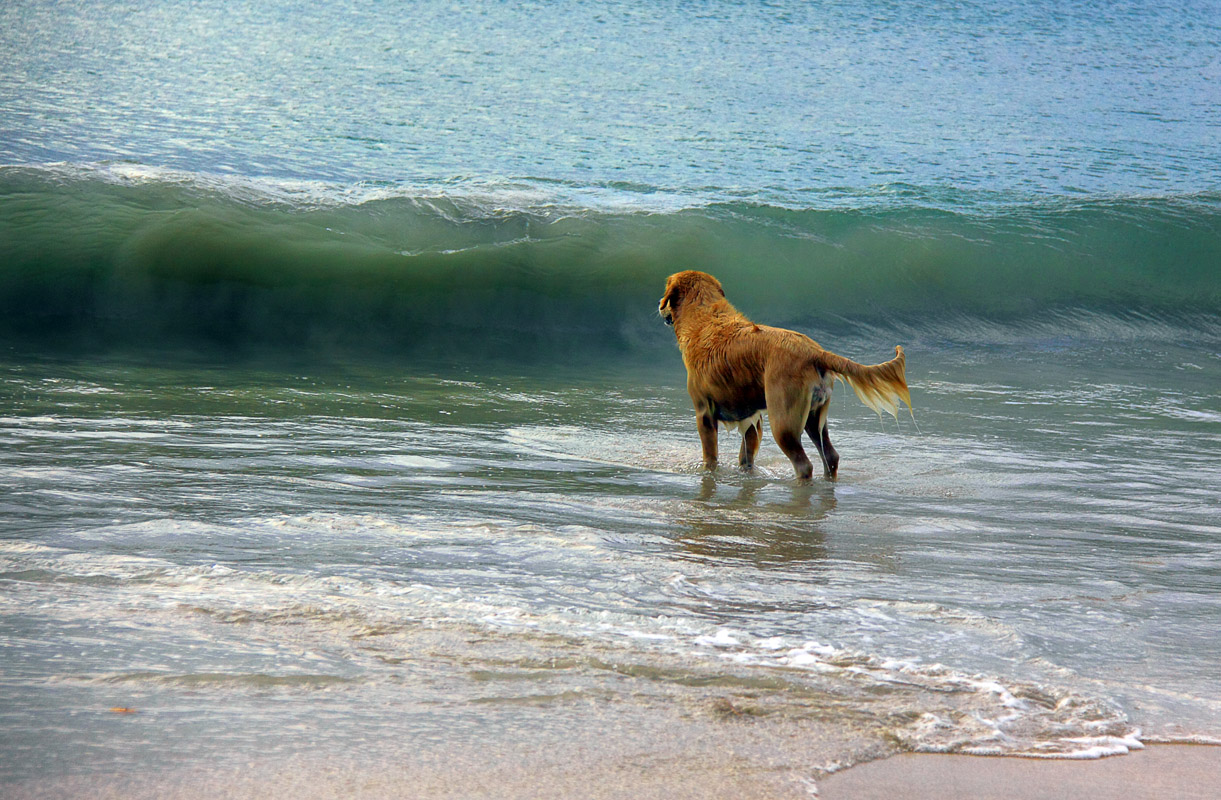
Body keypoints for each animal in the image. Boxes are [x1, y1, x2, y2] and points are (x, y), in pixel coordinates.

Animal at [659, 268, 908, 481]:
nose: (660, 307)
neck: (703, 316)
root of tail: (815, 351)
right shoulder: (752, 418)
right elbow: (746, 455)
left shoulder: (704, 413)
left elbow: (710, 458)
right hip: (814, 415)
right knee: (831, 456)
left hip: (783, 418)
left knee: (803, 464)